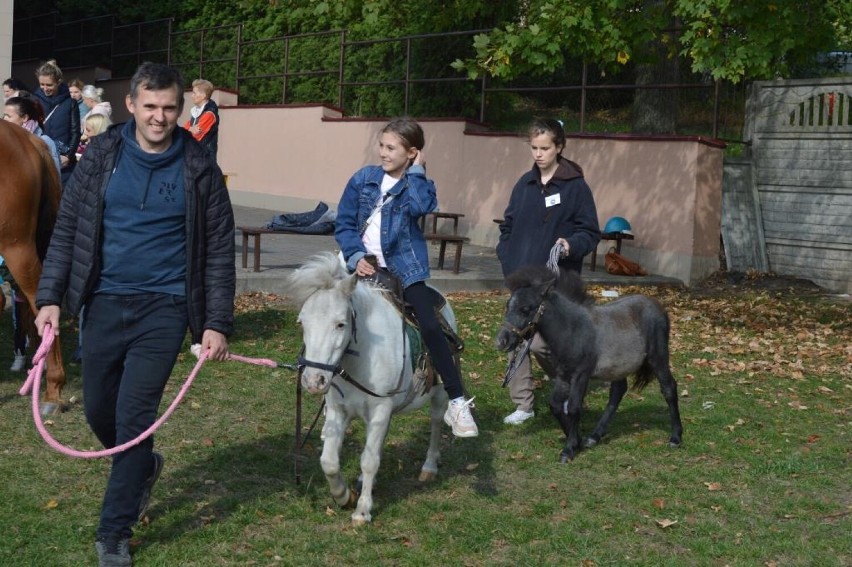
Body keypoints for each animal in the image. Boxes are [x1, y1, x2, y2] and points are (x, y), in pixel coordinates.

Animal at [288, 254, 452, 528]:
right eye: (302, 323)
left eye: (340, 324)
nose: (313, 381)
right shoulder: (339, 410)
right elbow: (329, 461)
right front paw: (344, 496)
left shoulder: (380, 409)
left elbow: (369, 461)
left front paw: (362, 511)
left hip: (439, 394)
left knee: (437, 422)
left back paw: (429, 466)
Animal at [492, 266, 684, 462]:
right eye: (507, 307)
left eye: (525, 309)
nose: (502, 341)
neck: (573, 329)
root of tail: (659, 306)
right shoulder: (563, 375)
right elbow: (555, 405)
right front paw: (577, 440)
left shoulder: (581, 375)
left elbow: (574, 408)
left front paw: (569, 449)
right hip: (618, 367)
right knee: (617, 392)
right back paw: (594, 436)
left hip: (658, 357)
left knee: (669, 388)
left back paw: (676, 437)